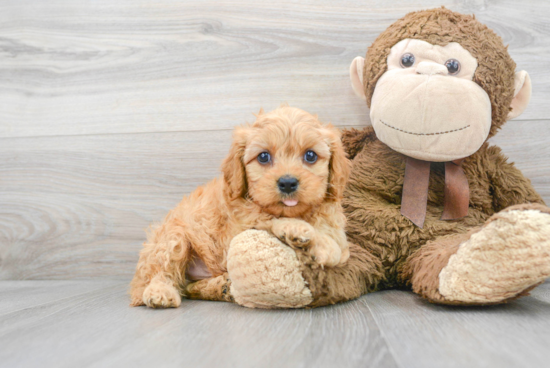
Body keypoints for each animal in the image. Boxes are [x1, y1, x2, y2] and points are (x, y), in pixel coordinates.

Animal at [131, 104, 352, 308]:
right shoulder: (240, 223)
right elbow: (267, 218)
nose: (288, 183)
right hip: (172, 238)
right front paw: (298, 230)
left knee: (191, 287)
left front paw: (322, 246)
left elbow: (339, 249)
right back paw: (160, 292)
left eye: (310, 156)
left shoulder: (335, 229)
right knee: (159, 272)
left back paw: (221, 287)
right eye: (263, 156)